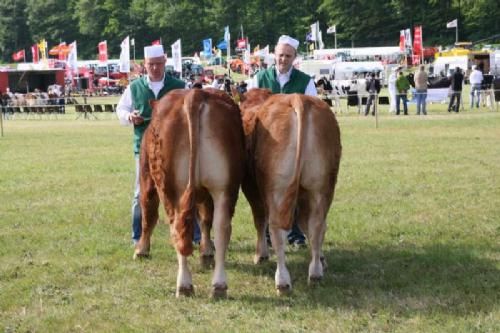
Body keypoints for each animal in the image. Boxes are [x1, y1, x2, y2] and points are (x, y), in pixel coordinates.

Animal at [135, 87, 246, 296]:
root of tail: (195, 94)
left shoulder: (146, 178)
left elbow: (148, 215)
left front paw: (141, 250)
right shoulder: (206, 194)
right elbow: (205, 220)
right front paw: (206, 252)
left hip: (169, 188)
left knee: (176, 227)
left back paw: (184, 285)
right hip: (225, 187)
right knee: (221, 227)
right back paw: (219, 285)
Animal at [240, 87, 342, 294]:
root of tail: (297, 99)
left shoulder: (252, 188)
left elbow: (259, 220)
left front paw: (261, 255)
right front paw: (321, 259)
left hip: (278, 190)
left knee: (278, 230)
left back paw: (282, 281)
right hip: (321, 187)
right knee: (317, 225)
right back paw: (316, 272)